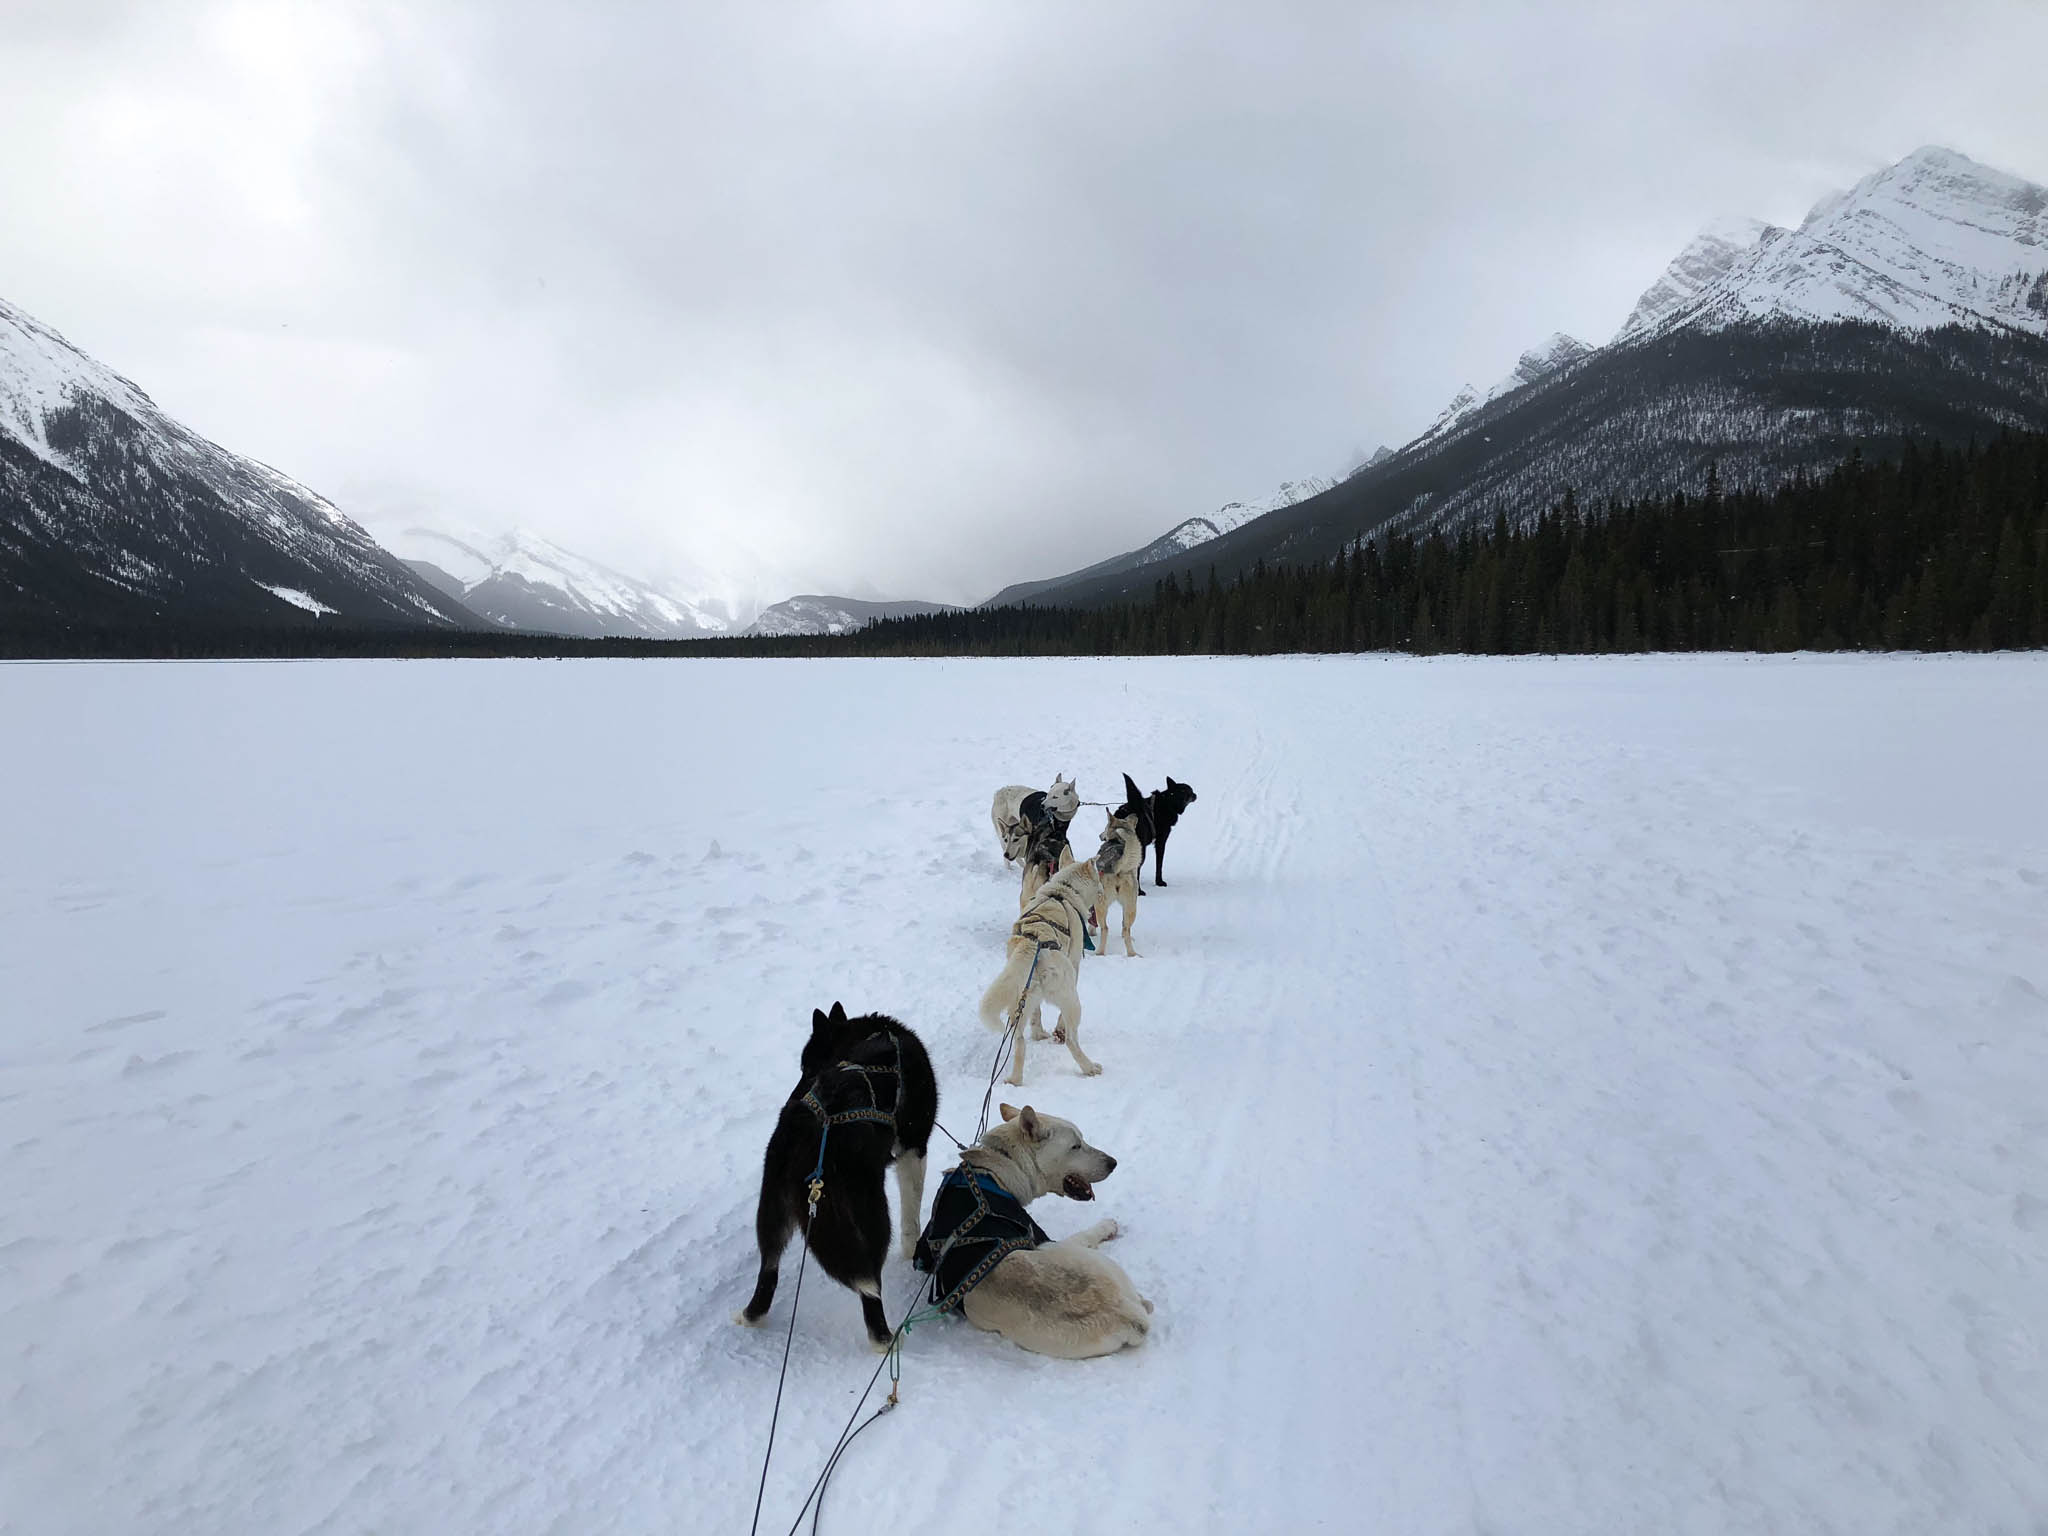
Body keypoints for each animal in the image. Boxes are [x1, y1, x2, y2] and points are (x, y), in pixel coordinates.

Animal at [737, 999, 937, 1343]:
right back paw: (884, 1337)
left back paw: (752, 1316)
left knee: (768, 1270)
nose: (791, 1098)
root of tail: (808, 1134)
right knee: (871, 1285)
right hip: (871, 1215)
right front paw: (912, 1249)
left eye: (808, 1069)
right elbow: (911, 1217)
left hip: (772, 1213)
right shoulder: (914, 1150)